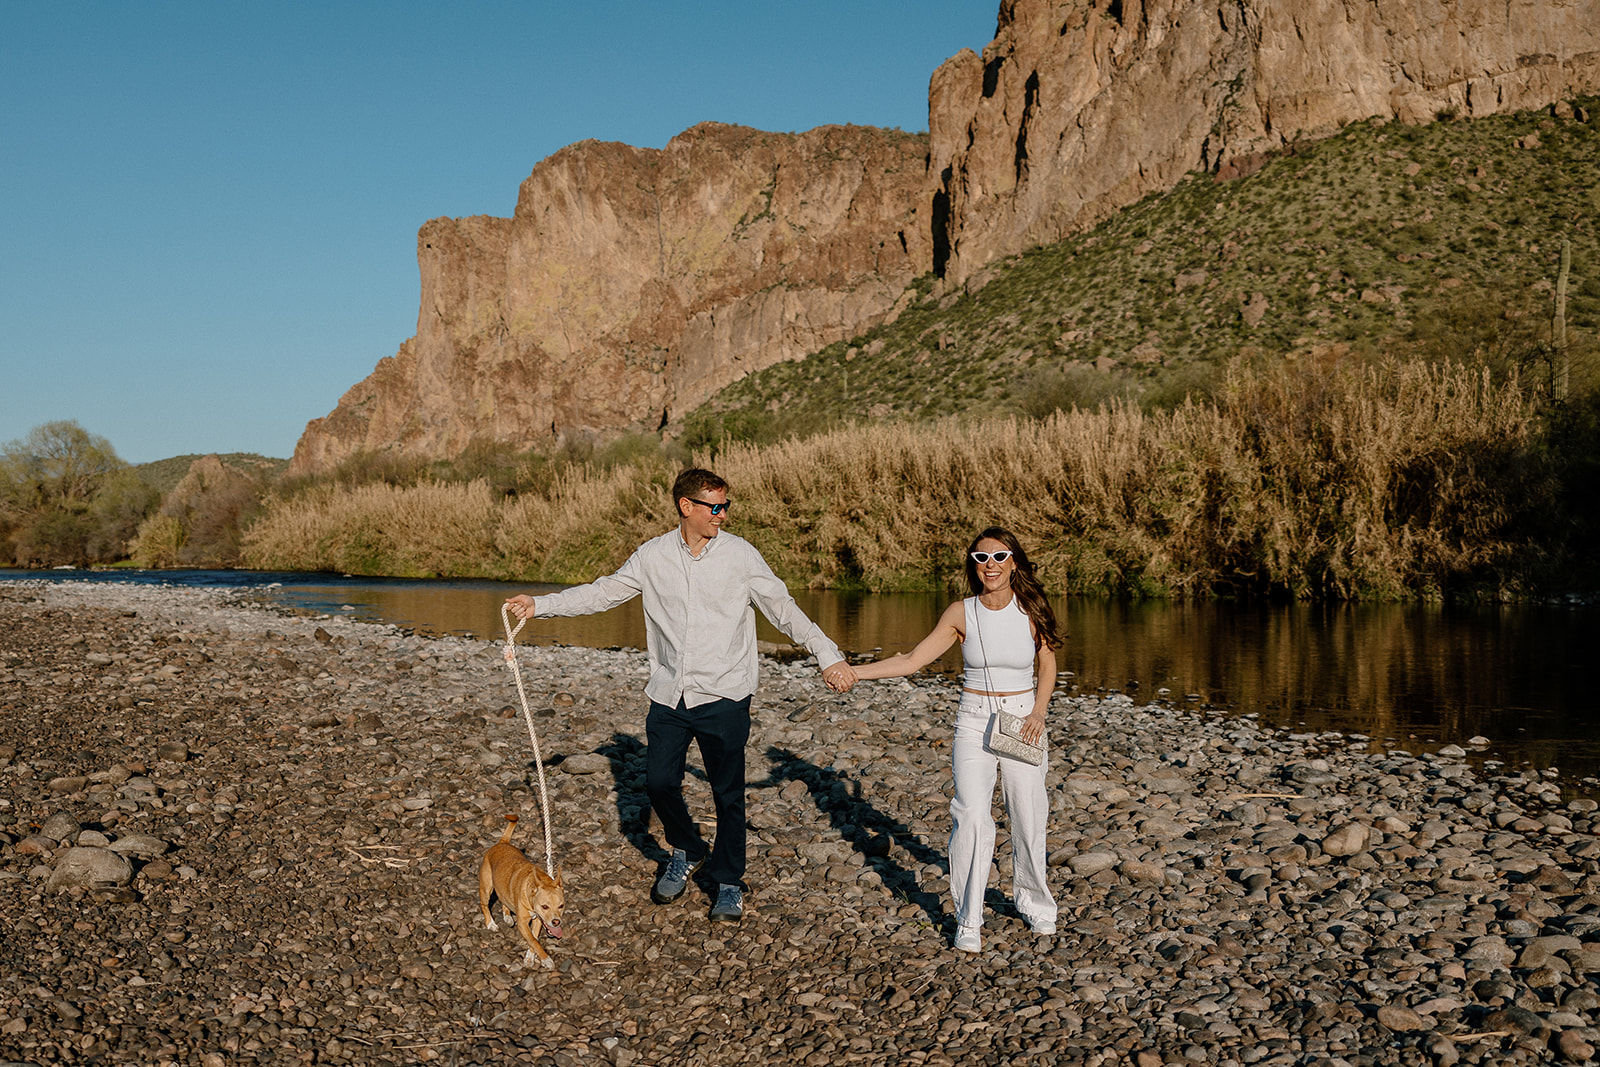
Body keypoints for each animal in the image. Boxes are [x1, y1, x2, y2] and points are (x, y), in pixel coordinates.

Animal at [473, 819, 563, 966]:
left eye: (561, 906)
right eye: (545, 906)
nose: (556, 922)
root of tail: (503, 842)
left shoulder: (538, 920)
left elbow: (534, 939)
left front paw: (530, 957)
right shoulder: (523, 923)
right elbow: (533, 940)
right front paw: (546, 959)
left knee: (504, 899)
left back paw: (508, 917)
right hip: (486, 888)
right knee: (484, 904)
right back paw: (491, 924)